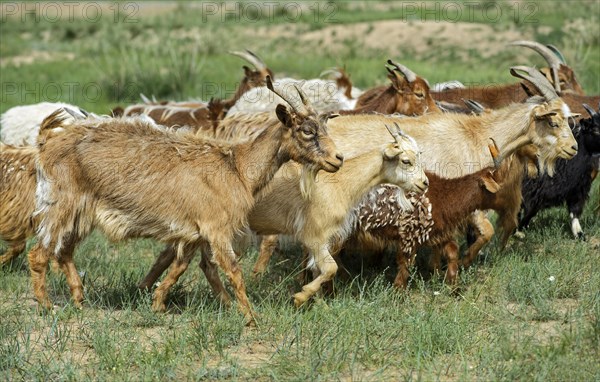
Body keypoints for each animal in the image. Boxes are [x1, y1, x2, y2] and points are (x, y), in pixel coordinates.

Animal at [28, 79, 344, 324]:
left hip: (82, 214)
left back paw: (79, 299)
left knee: (64, 251)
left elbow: (187, 267)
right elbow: (231, 270)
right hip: (61, 205)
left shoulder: (194, 231)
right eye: (306, 131)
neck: (238, 167)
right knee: (39, 253)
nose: (337, 159)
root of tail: (46, 142)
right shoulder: (216, 228)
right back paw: (47, 305)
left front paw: (159, 302)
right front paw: (250, 316)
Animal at [516, 103, 596, 237]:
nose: (574, 148)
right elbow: (529, 211)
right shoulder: (536, 191)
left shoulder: (577, 189)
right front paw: (519, 230)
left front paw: (579, 234)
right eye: (595, 130)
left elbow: (575, 211)